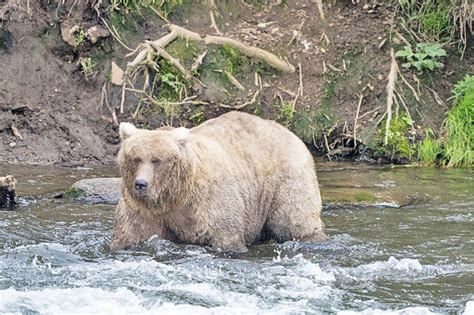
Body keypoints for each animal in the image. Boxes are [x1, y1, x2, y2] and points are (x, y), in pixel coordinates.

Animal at [110, 112, 326, 253]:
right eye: (135, 158)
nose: (141, 184)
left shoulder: (207, 201)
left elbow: (226, 235)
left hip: (286, 181)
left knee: (294, 221)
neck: (173, 196)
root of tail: (292, 134)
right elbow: (131, 233)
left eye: (157, 160)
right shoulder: (144, 209)